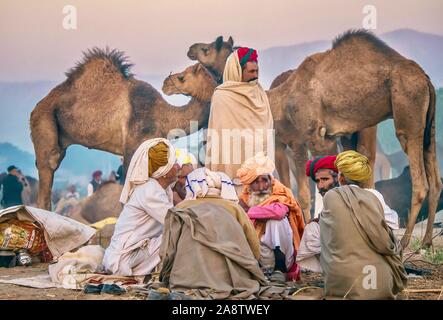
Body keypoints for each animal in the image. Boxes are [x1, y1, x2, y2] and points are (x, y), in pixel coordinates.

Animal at [29, 47, 213, 211]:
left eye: (181, 78)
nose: (165, 84)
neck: (162, 116)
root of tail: (38, 106)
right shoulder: (132, 148)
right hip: (43, 120)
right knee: (49, 164)